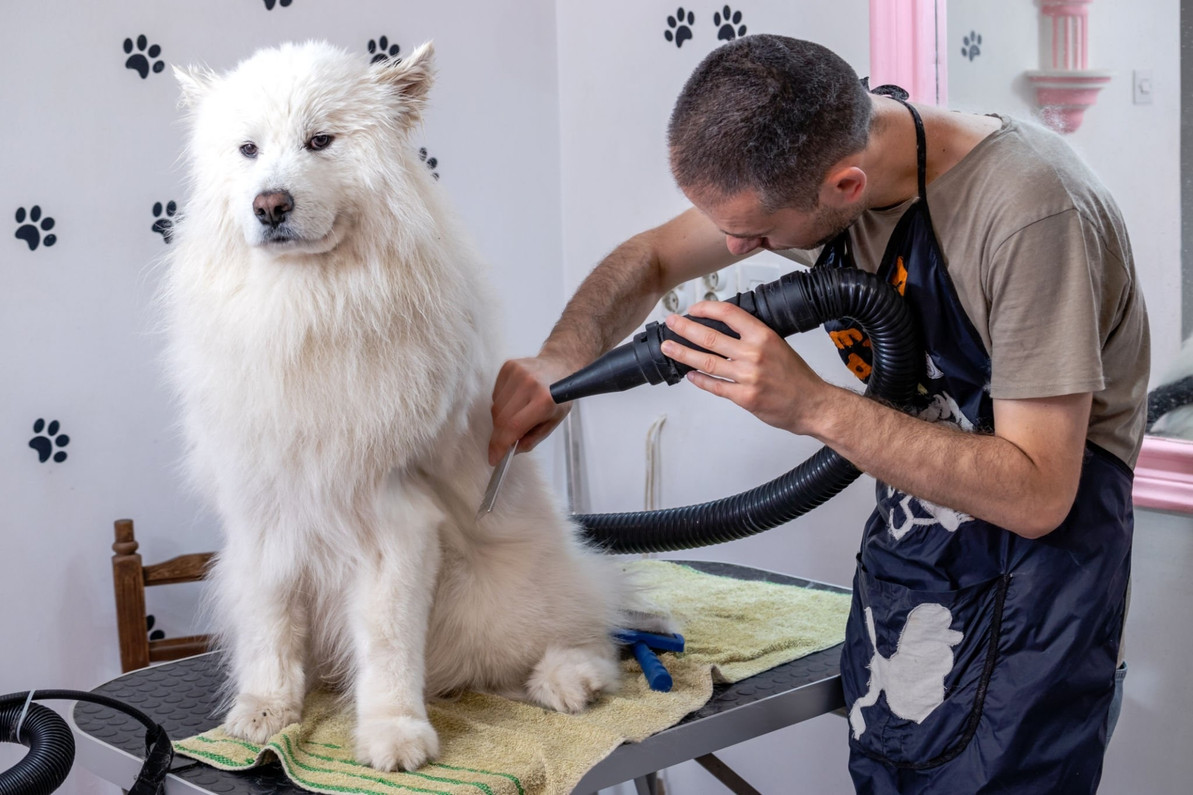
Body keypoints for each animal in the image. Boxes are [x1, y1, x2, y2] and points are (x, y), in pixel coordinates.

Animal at [164, 41, 648, 768]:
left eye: (319, 141)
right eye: (248, 149)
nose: (269, 204)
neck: (306, 312)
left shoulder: (392, 523)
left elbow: (389, 643)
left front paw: (394, 734)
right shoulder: (265, 515)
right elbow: (271, 628)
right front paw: (265, 710)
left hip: (506, 600)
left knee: (594, 631)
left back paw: (568, 678)